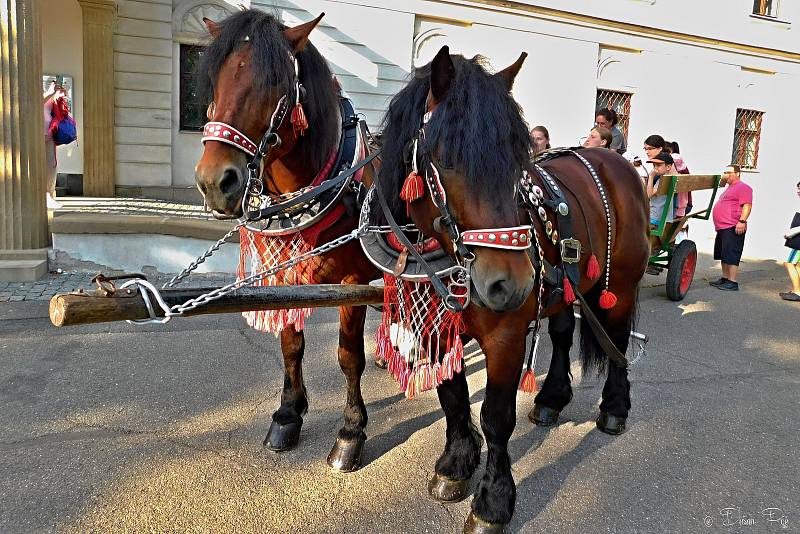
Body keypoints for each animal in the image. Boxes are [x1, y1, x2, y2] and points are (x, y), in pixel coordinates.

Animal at [195, 9, 382, 474]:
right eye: (214, 79)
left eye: (275, 83)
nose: (214, 182)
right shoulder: (285, 275)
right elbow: (291, 345)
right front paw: (287, 414)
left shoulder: (352, 283)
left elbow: (348, 356)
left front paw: (351, 432)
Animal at [376, 46, 648, 532]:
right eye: (446, 157)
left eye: (517, 159)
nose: (510, 283)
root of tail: (618, 163)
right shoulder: (436, 329)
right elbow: (451, 396)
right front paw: (455, 464)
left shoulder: (505, 337)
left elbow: (496, 418)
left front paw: (493, 501)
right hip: (565, 289)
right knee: (562, 333)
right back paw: (552, 398)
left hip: (620, 285)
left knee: (616, 338)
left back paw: (615, 408)